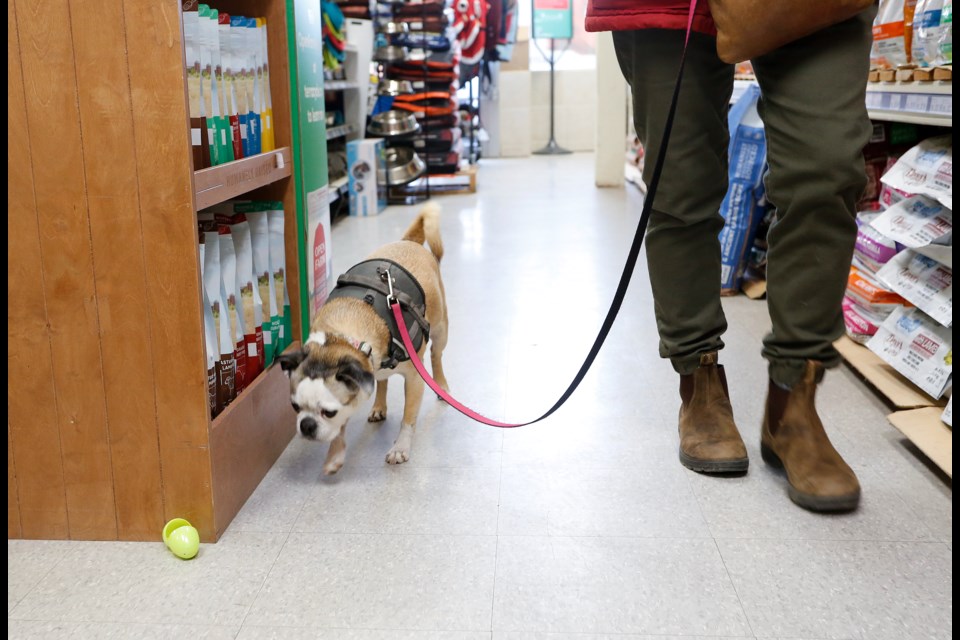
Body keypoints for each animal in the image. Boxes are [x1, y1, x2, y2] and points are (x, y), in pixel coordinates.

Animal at [278, 205, 450, 476]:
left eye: (328, 412)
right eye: (295, 407)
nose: (305, 425)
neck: (341, 338)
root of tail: (409, 242)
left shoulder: (414, 380)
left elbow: (408, 418)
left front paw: (400, 447)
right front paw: (336, 453)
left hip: (441, 330)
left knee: (436, 355)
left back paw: (441, 385)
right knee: (382, 381)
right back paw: (378, 406)